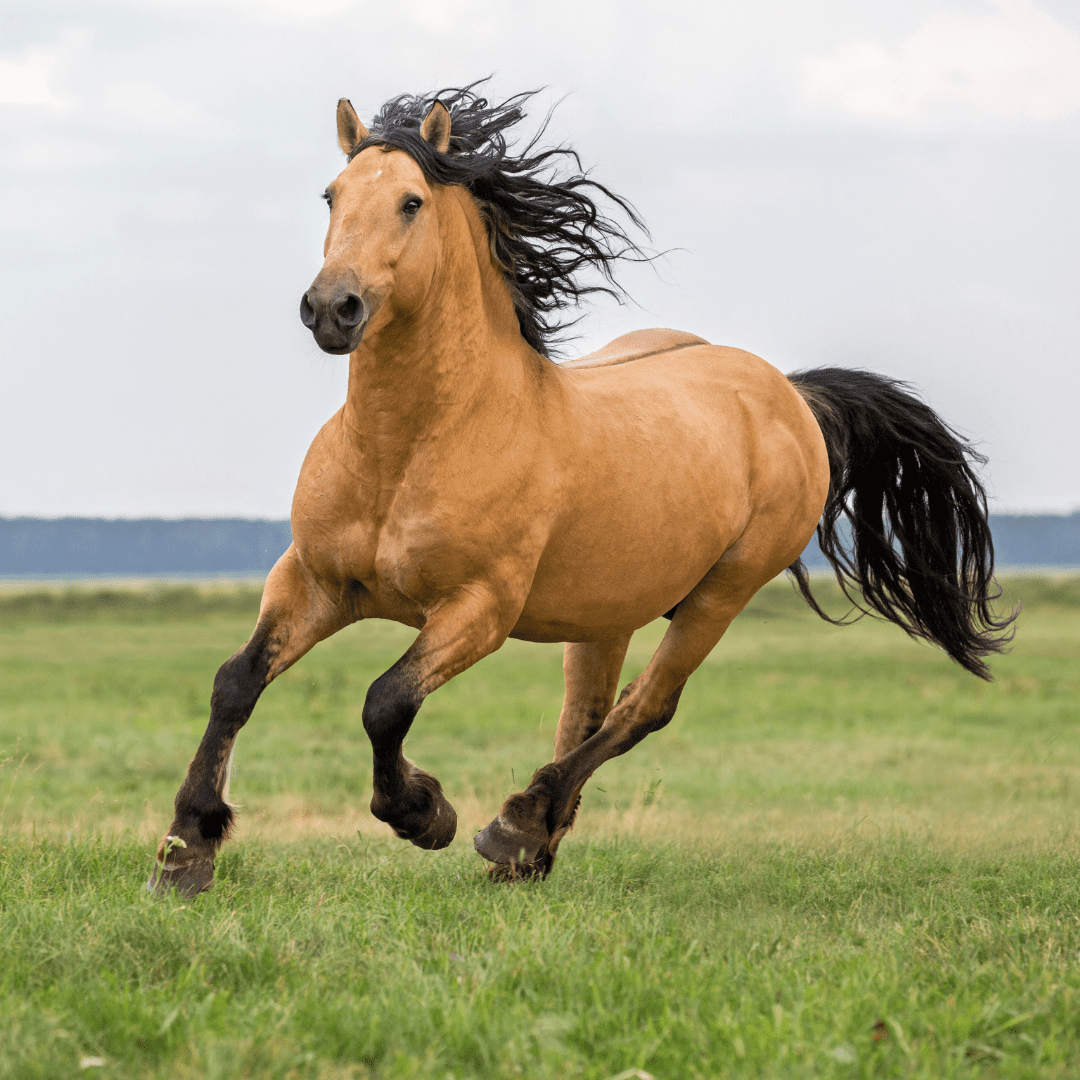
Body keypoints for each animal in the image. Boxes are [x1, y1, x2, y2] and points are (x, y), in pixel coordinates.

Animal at [149, 86, 1014, 896]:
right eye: (331, 196)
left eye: (411, 202)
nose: (333, 308)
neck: (409, 447)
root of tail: (789, 393)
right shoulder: (314, 582)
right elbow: (236, 683)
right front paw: (186, 850)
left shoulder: (479, 610)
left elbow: (384, 701)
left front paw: (425, 814)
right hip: (608, 613)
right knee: (587, 715)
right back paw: (530, 850)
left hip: (721, 594)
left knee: (643, 710)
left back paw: (513, 827)